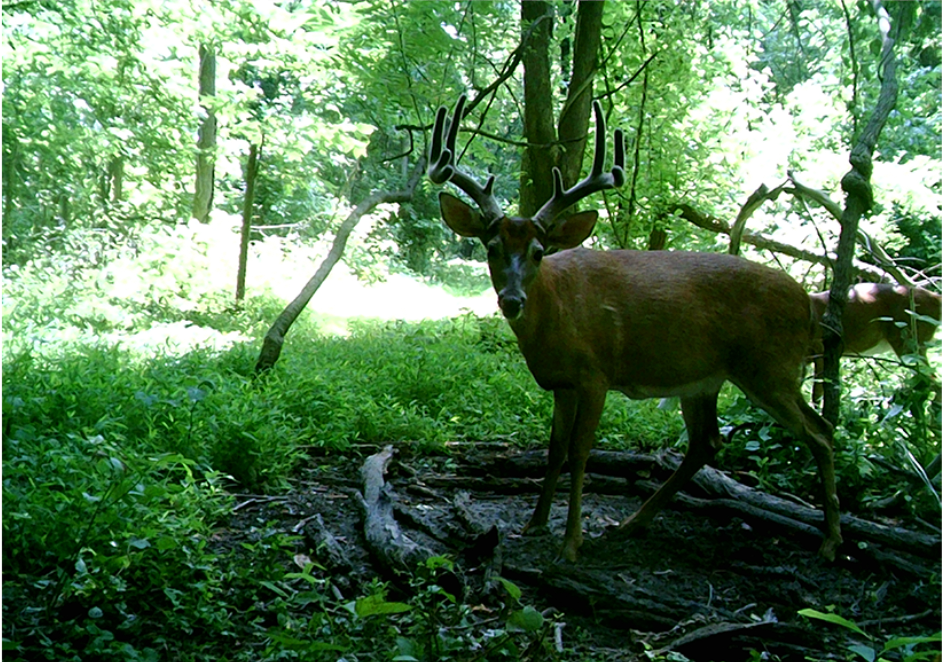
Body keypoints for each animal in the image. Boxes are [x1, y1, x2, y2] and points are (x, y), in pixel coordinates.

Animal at [432, 96, 844, 564]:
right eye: (491, 248)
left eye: (538, 251)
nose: (512, 300)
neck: (557, 311)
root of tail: (809, 305)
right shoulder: (562, 383)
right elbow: (554, 449)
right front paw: (535, 523)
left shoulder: (595, 374)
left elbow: (580, 452)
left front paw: (571, 543)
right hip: (706, 379)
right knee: (708, 442)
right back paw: (632, 522)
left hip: (770, 367)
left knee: (820, 433)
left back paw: (831, 541)